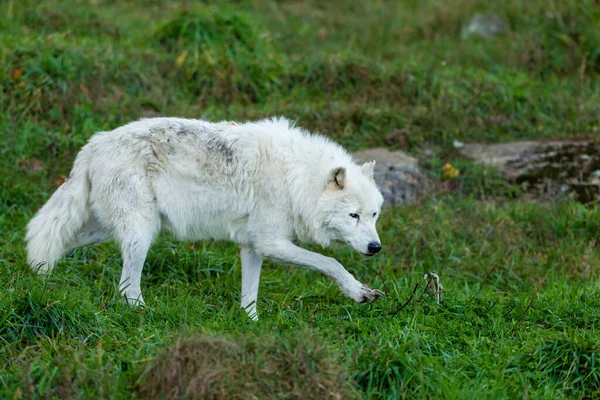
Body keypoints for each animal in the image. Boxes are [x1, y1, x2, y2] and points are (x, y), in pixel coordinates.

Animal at [27, 116, 384, 318]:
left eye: (374, 215)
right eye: (353, 215)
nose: (376, 248)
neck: (296, 178)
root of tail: (94, 144)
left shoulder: (253, 247)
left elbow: (250, 296)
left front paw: (251, 325)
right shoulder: (272, 244)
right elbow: (331, 263)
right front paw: (359, 292)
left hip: (106, 229)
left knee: (52, 240)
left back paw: (37, 278)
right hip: (142, 234)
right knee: (126, 287)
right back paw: (144, 314)